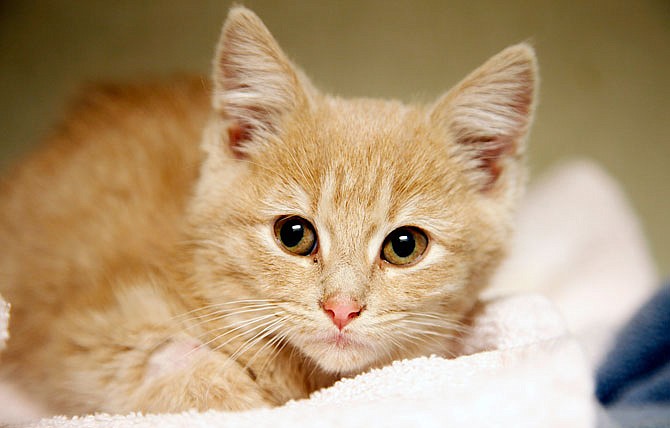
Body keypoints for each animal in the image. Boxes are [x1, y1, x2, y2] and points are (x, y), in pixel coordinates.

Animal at [0, 6, 540, 414]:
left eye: (405, 246)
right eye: (294, 234)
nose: (341, 309)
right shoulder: (73, 329)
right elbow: (155, 357)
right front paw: (236, 390)